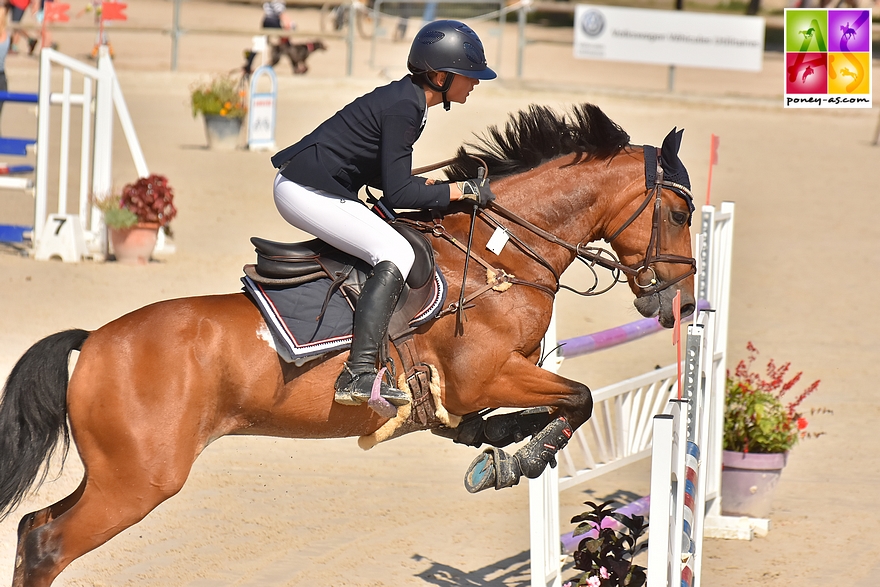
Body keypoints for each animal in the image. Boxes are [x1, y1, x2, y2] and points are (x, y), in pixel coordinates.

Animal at [1, 103, 700, 584]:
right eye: (680, 214)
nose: (682, 304)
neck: (498, 254)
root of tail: (93, 343)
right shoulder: (484, 375)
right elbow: (579, 398)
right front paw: (516, 462)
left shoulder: (482, 388)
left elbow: (526, 414)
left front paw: (497, 450)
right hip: (139, 480)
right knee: (50, 544)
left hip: (115, 475)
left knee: (35, 528)